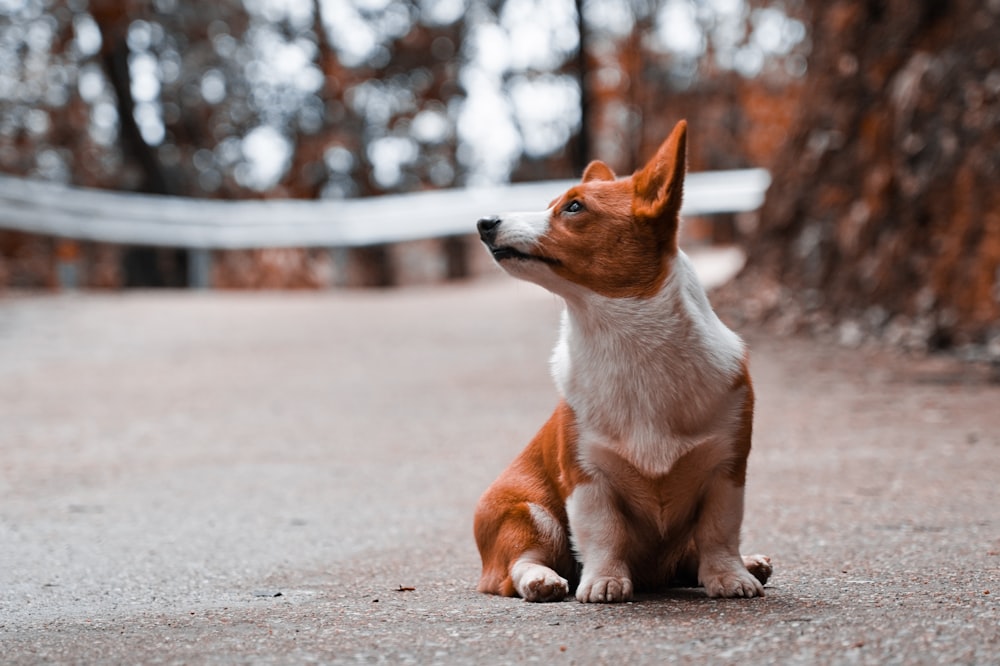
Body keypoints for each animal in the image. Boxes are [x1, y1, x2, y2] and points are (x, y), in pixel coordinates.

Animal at [472, 120, 768, 600]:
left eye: (573, 207)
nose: (483, 222)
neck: (627, 341)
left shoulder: (726, 469)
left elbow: (718, 532)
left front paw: (730, 577)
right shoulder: (587, 477)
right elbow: (603, 532)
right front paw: (605, 582)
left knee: (690, 557)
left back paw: (751, 563)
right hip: (528, 513)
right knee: (516, 566)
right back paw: (542, 580)